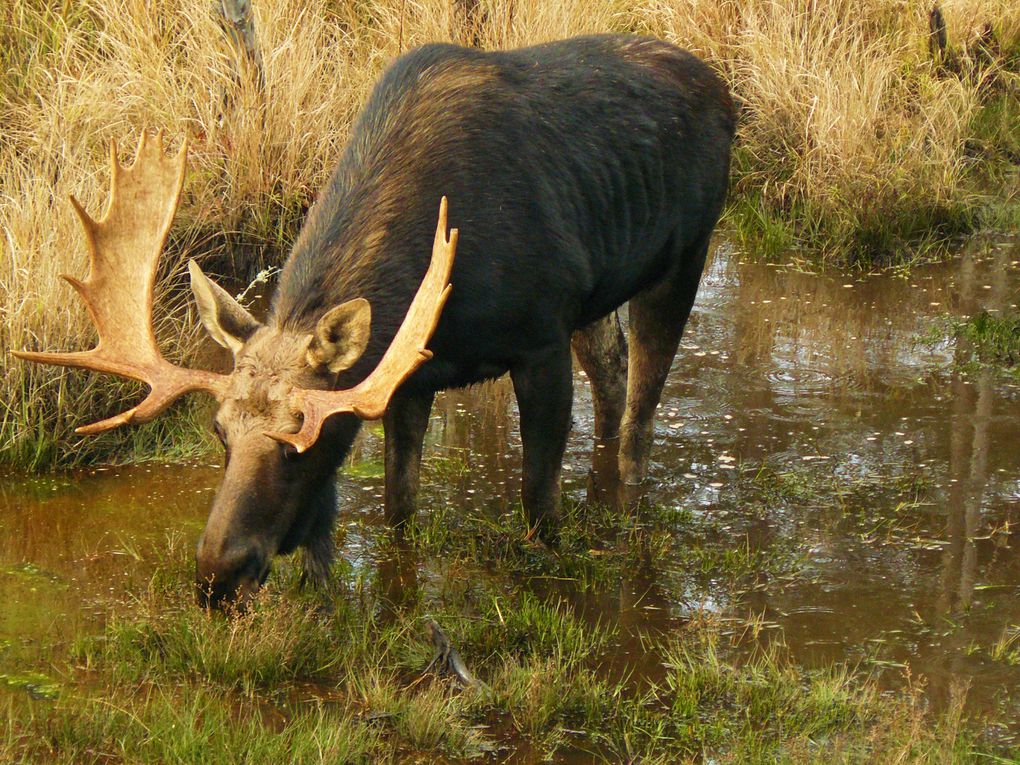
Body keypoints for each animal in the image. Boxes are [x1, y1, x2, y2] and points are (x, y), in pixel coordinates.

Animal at [15, 34, 734, 612]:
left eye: (301, 440)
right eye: (219, 431)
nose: (218, 575)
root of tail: (725, 93)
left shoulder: (540, 338)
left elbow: (538, 506)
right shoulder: (411, 376)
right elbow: (398, 508)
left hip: (685, 255)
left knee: (640, 417)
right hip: (599, 295)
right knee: (613, 378)